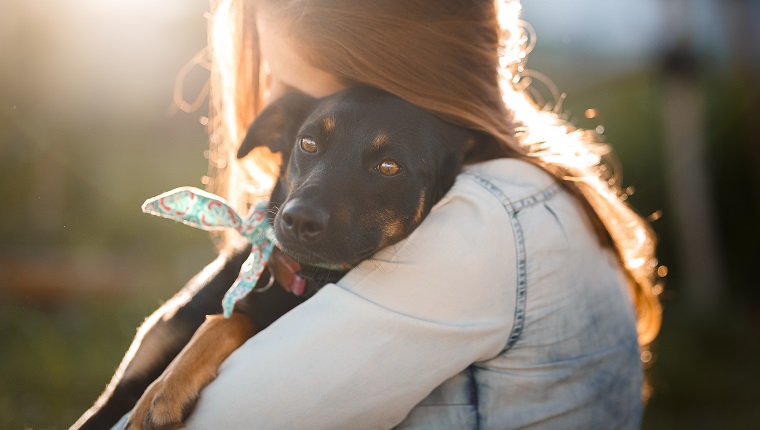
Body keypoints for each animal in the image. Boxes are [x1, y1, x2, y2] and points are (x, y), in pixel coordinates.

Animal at [71, 85, 476, 428]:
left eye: (390, 166)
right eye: (308, 143)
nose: (298, 219)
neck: (299, 276)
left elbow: (227, 321)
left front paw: (164, 390)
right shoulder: (112, 396)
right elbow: (222, 319)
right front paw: (166, 385)